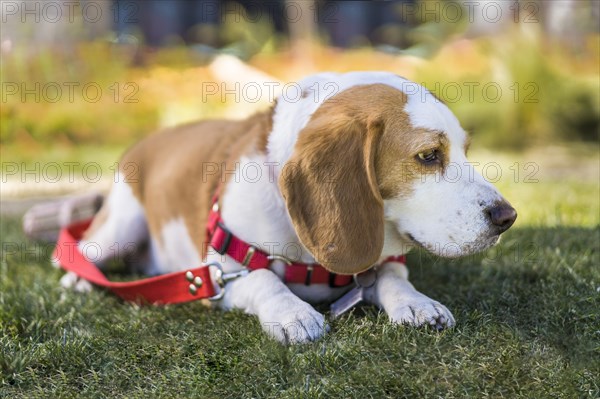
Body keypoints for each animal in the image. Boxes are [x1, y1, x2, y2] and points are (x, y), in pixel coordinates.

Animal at [62, 72, 520, 344]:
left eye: (464, 150)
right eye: (428, 156)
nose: (507, 217)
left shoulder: (380, 259)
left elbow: (393, 276)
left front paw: (417, 302)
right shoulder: (221, 271)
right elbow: (264, 279)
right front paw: (292, 313)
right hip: (120, 226)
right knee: (79, 251)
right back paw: (79, 281)